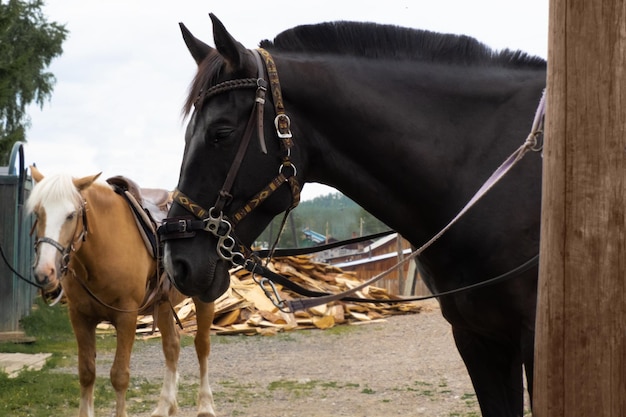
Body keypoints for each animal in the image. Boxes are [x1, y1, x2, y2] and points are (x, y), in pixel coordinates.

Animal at [27, 167, 217, 416]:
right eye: (38, 213)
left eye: (71, 215)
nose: (45, 272)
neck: (104, 246)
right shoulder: (80, 317)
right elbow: (86, 373)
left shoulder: (126, 317)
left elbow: (119, 376)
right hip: (163, 305)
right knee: (172, 347)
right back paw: (165, 406)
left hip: (203, 298)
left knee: (202, 345)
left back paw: (205, 406)